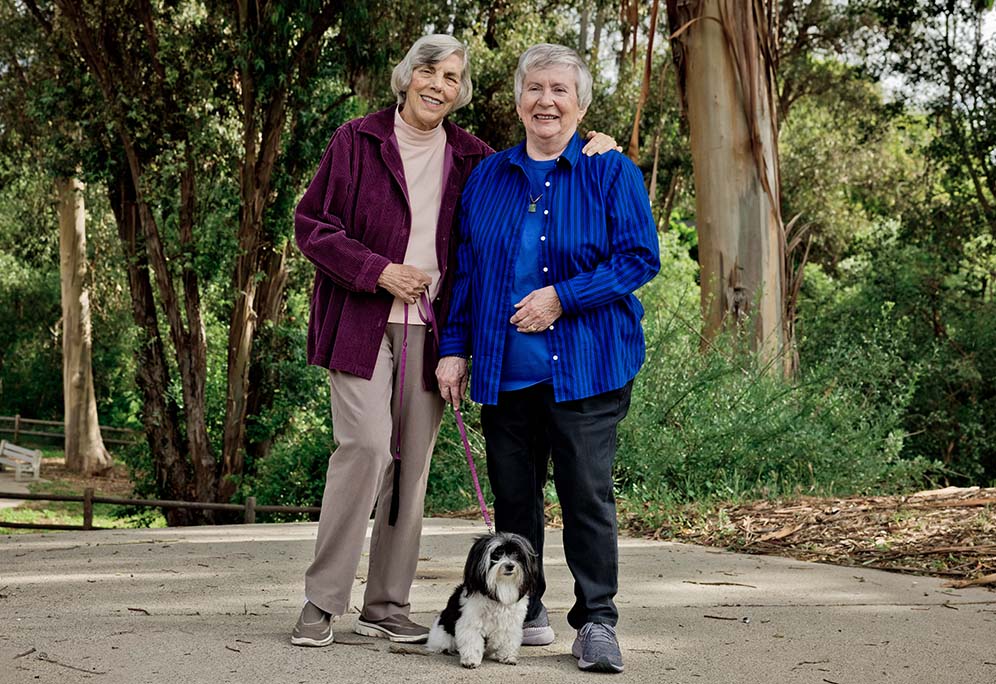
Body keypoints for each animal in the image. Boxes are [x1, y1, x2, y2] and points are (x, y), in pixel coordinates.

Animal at [426, 528, 540, 668]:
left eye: (516, 553)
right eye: (497, 554)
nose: (510, 566)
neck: (500, 587)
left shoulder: (511, 624)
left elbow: (509, 640)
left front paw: (508, 657)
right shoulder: (471, 623)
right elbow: (472, 642)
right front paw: (471, 660)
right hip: (442, 635)